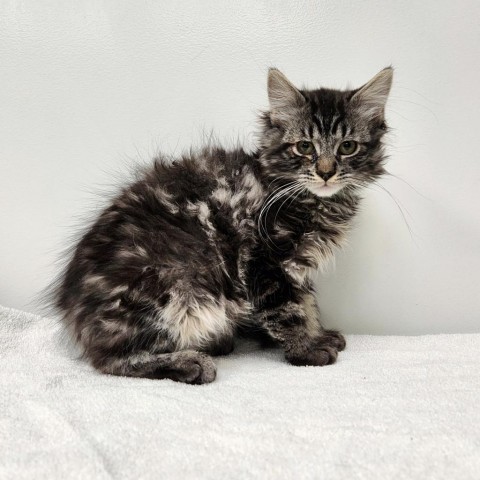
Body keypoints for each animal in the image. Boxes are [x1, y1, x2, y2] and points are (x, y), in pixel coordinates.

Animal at [50, 67, 392, 384]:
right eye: (305, 147)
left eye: (347, 147)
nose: (326, 172)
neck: (313, 200)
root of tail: (72, 308)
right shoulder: (265, 261)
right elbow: (287, 309)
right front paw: (306, 349)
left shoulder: (296, 267)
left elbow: (307, 302)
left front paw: (317, 333)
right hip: (173, 286)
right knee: (109, 359)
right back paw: (190, 362)